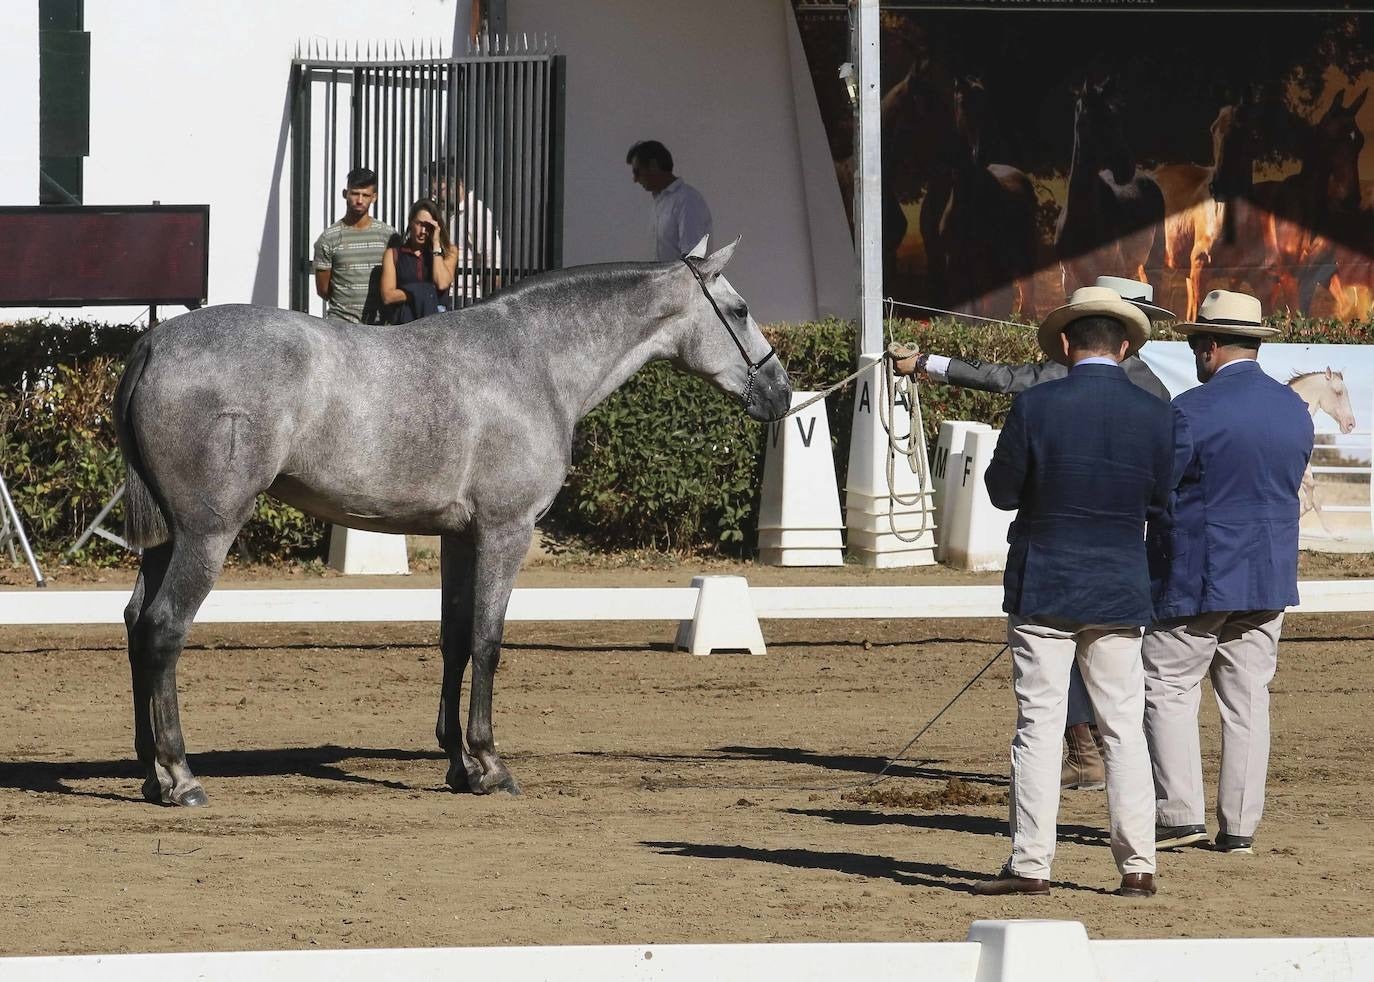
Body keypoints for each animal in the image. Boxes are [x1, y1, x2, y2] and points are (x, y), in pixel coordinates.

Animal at [112, 240, 791, 807]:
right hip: (208, 533)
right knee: (165, 628)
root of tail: (157, 343)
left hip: (168, 538)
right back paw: (180, 776)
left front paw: (459, 765)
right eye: (739, 308)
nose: (782, 392)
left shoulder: (460, 539)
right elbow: (489, 642)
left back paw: (151, 771)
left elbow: (456, 641)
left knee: (138, 624)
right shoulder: (505, 532)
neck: (532, 359)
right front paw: (490, 764)